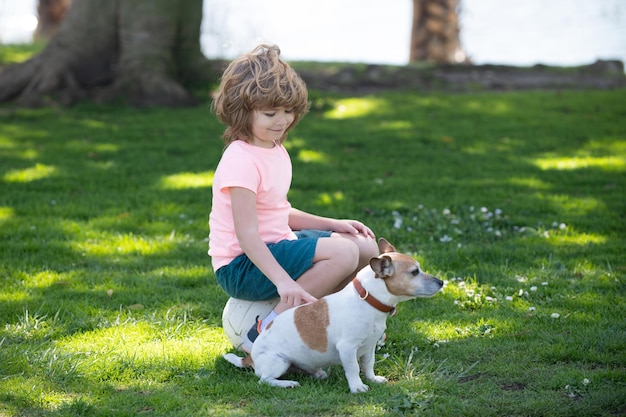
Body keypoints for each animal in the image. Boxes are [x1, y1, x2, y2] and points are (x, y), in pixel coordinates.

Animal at [222, 239, 442, 392]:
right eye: (414, 272)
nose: (441, 282)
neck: (367, 300)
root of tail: (250, 358)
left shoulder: (369, 347)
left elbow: (368, 365)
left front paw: (373, 379)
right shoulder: (348, 348)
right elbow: (353, 368)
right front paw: (357, 387)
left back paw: (317, 372)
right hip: (278, 362)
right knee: (264, 380)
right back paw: (287, 383)